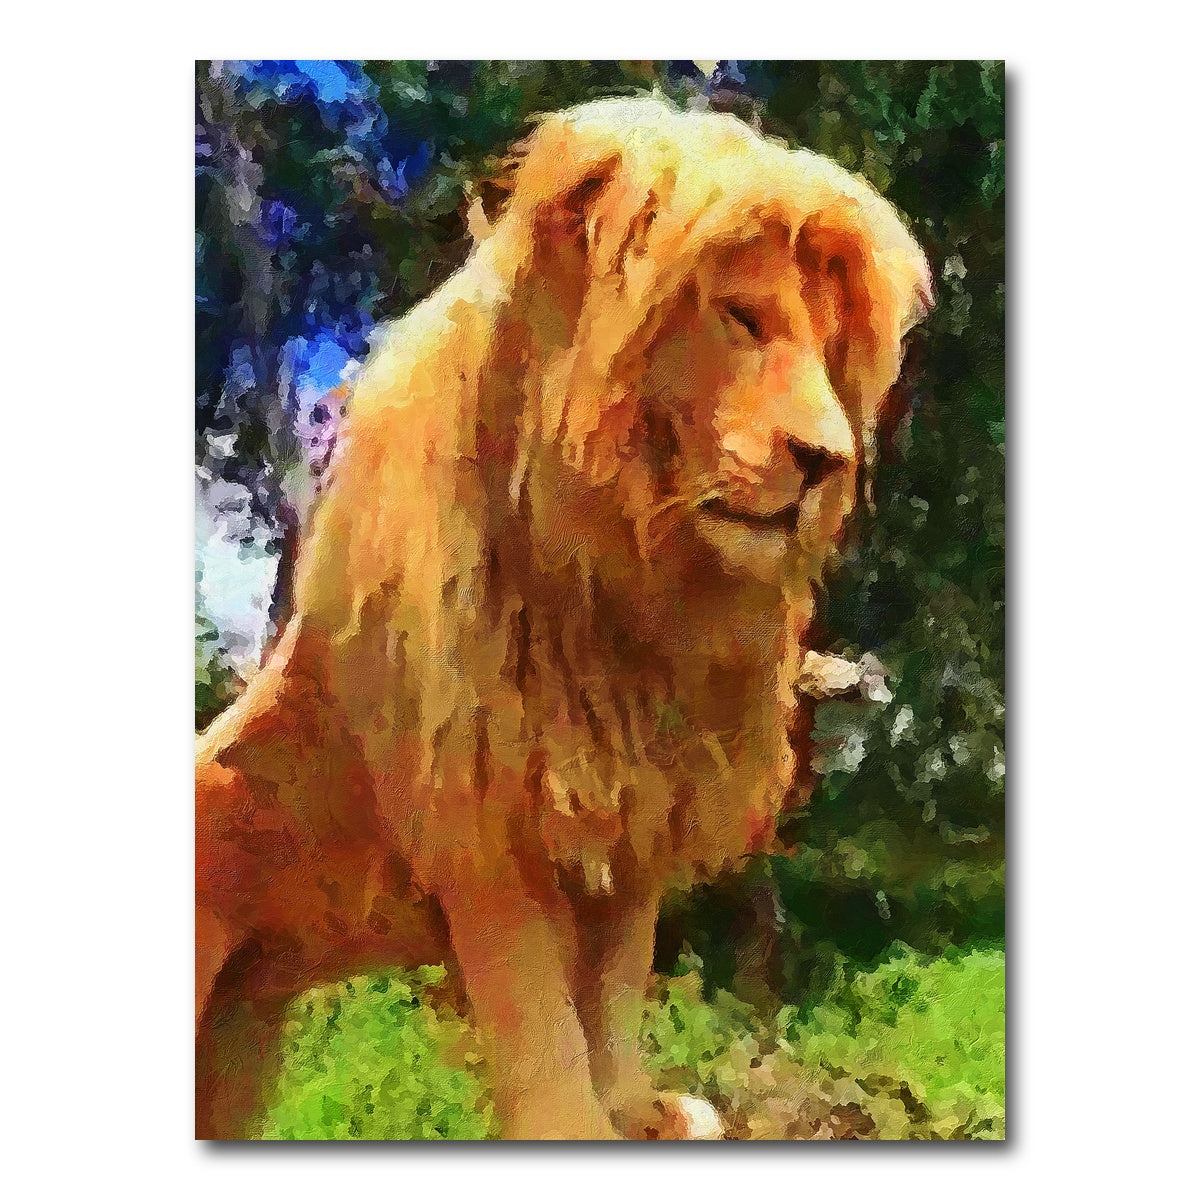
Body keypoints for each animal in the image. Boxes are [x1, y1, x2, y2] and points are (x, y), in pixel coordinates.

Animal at [196, 95, 931, 1141]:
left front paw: (635, 1109)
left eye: (833, 353)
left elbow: (616, 981)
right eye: (743, 318)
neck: (620, 585)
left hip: (239, 1044)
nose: (830, 463)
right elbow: (536, 1006)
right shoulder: (482, 815)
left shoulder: (638, 806)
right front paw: (573, 1127)